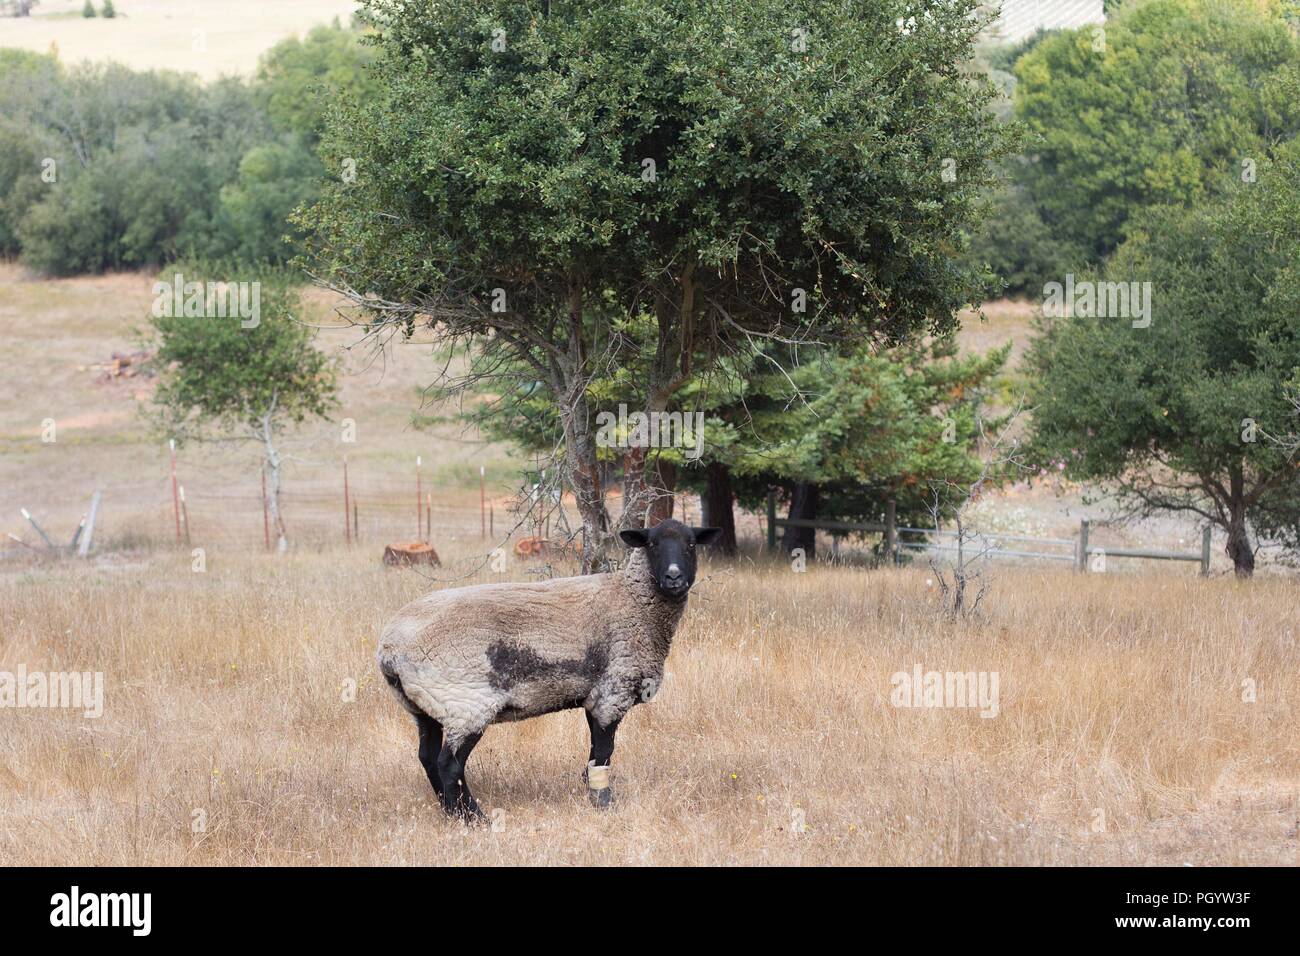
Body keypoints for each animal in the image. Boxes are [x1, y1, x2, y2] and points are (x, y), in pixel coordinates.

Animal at [377, 518, 722, 819]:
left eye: (691, 545)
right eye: (652, 544)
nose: (674, 578)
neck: (631, 600)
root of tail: (388, 650)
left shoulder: (594, 696)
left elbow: (595, 752)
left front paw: (590, 791)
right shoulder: (613, 691)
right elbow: (604, 750)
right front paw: (602, 802)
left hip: (425, 706)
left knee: (427, 758)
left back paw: (450, 814)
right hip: (465, 701)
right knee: (448, 764)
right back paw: (474, 819)